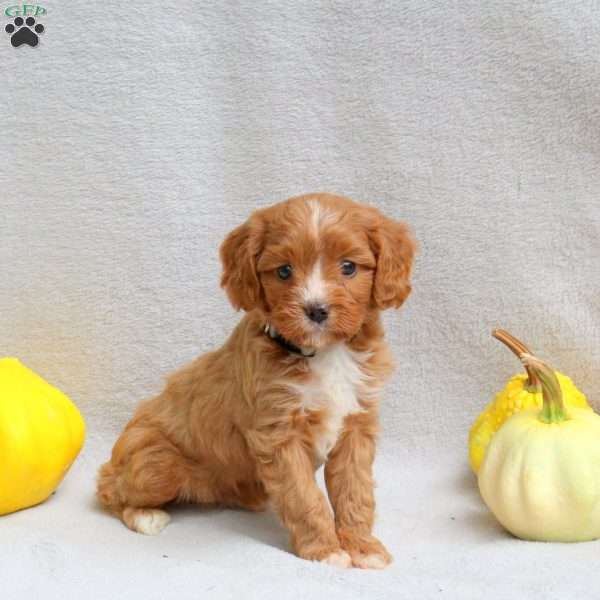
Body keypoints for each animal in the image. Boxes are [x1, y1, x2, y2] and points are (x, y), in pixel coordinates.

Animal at [99, 192, 418, 568]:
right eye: (284, 271)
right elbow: (305, 498)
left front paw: (362, 546)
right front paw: (324, 550)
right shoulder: (279, 435)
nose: (316, 310)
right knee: (109, 487)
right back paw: (144, 515)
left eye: (349, 267)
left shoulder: (356, 425)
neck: (325, 353)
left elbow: (355, 491)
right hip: (158, 463)